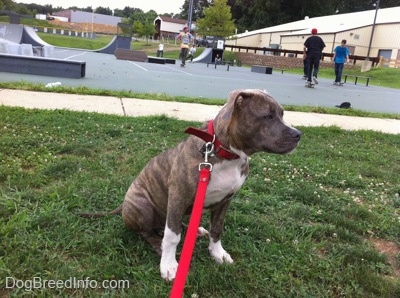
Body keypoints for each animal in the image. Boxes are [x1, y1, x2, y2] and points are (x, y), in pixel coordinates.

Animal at [80, 89, 300, 282]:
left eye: (282, 114)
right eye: (268, 116)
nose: (298, 134)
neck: (226, 154)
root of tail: (124, 204)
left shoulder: (225, 201)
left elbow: (217, 229)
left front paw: (218, 253)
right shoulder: (178, 196)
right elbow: (172, 236)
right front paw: (169, 266)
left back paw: (196, 230)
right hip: (143, 206)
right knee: (149, 231)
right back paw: (158, 244)